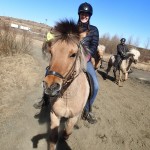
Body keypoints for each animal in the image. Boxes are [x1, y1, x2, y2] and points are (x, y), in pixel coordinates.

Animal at [43, 19, 90, 149]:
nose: (50, 86)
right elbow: (53, 138)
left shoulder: (73, 117)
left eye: (73, 54)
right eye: (51, 52)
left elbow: (66, 133)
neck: (67, 96)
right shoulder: (54, 114)